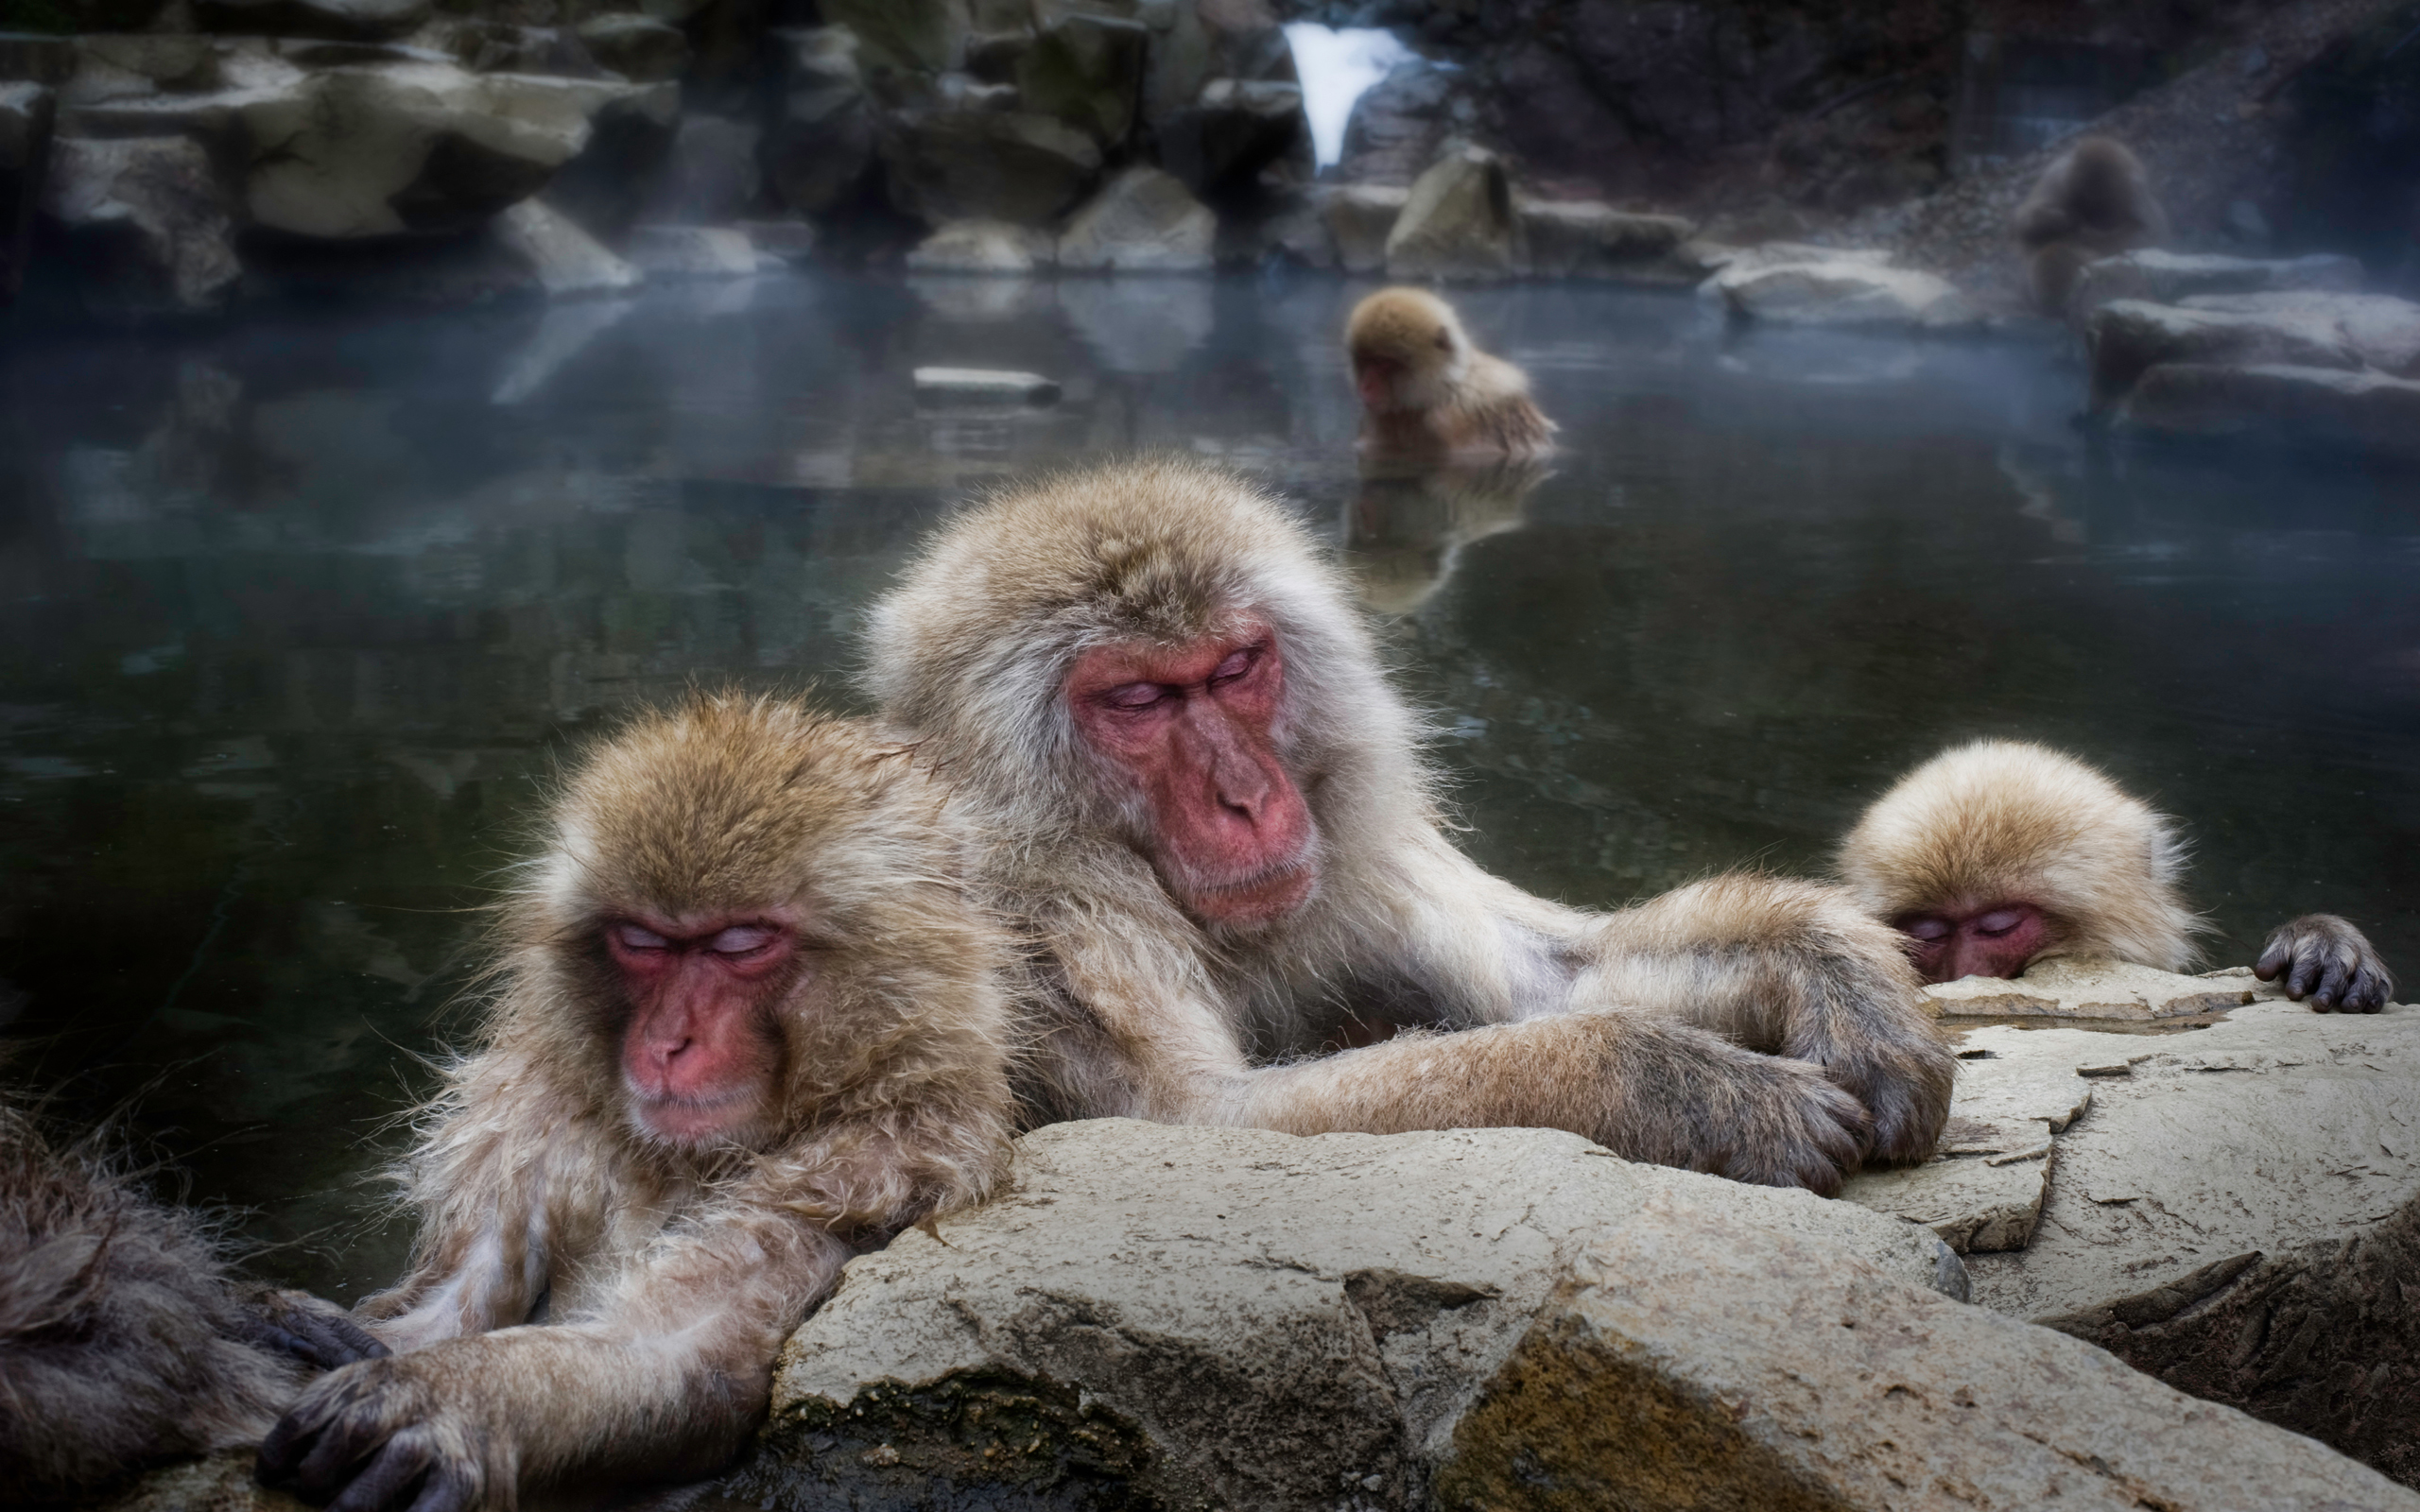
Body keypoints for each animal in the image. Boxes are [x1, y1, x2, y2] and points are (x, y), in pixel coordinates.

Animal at [255, 693, 1019, 1512]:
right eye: (643, 942)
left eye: (740, 942)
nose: (666, 1042)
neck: (687, 1160)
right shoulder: (533, 1123)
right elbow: (449, 1304)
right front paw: (313, 1331)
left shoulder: (876, 1165)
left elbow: (682, 1357)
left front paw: (454, 1397)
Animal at [864, 458, 1953, 1197]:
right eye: (1136, 699)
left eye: (1234, 668)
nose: (1245, 798)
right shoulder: (1036, 908)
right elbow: (1195, 1121)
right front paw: (1674, 1086)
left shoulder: (1355, 845)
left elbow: (1549, 975)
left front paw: (1838, 977)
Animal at [2013, 135, 2168, 316]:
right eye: (2087, 207)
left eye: (2101, 213)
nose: (2092, 222)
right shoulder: (2056, 180)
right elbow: (2025, 224)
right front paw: (2061, 221)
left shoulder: (2140, 201)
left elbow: (2145, 238)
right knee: (2050, 253)